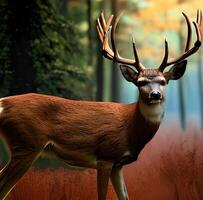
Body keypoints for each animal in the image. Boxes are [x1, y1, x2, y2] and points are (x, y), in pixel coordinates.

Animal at [0, 10, 201, 200]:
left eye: (163, 82)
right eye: (140, 82)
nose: (155, 95)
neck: (131, 128)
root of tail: (3, 103)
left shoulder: (118, 164)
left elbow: (125, 196)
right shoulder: (105, 156)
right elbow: (102, 195)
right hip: (26, 143)